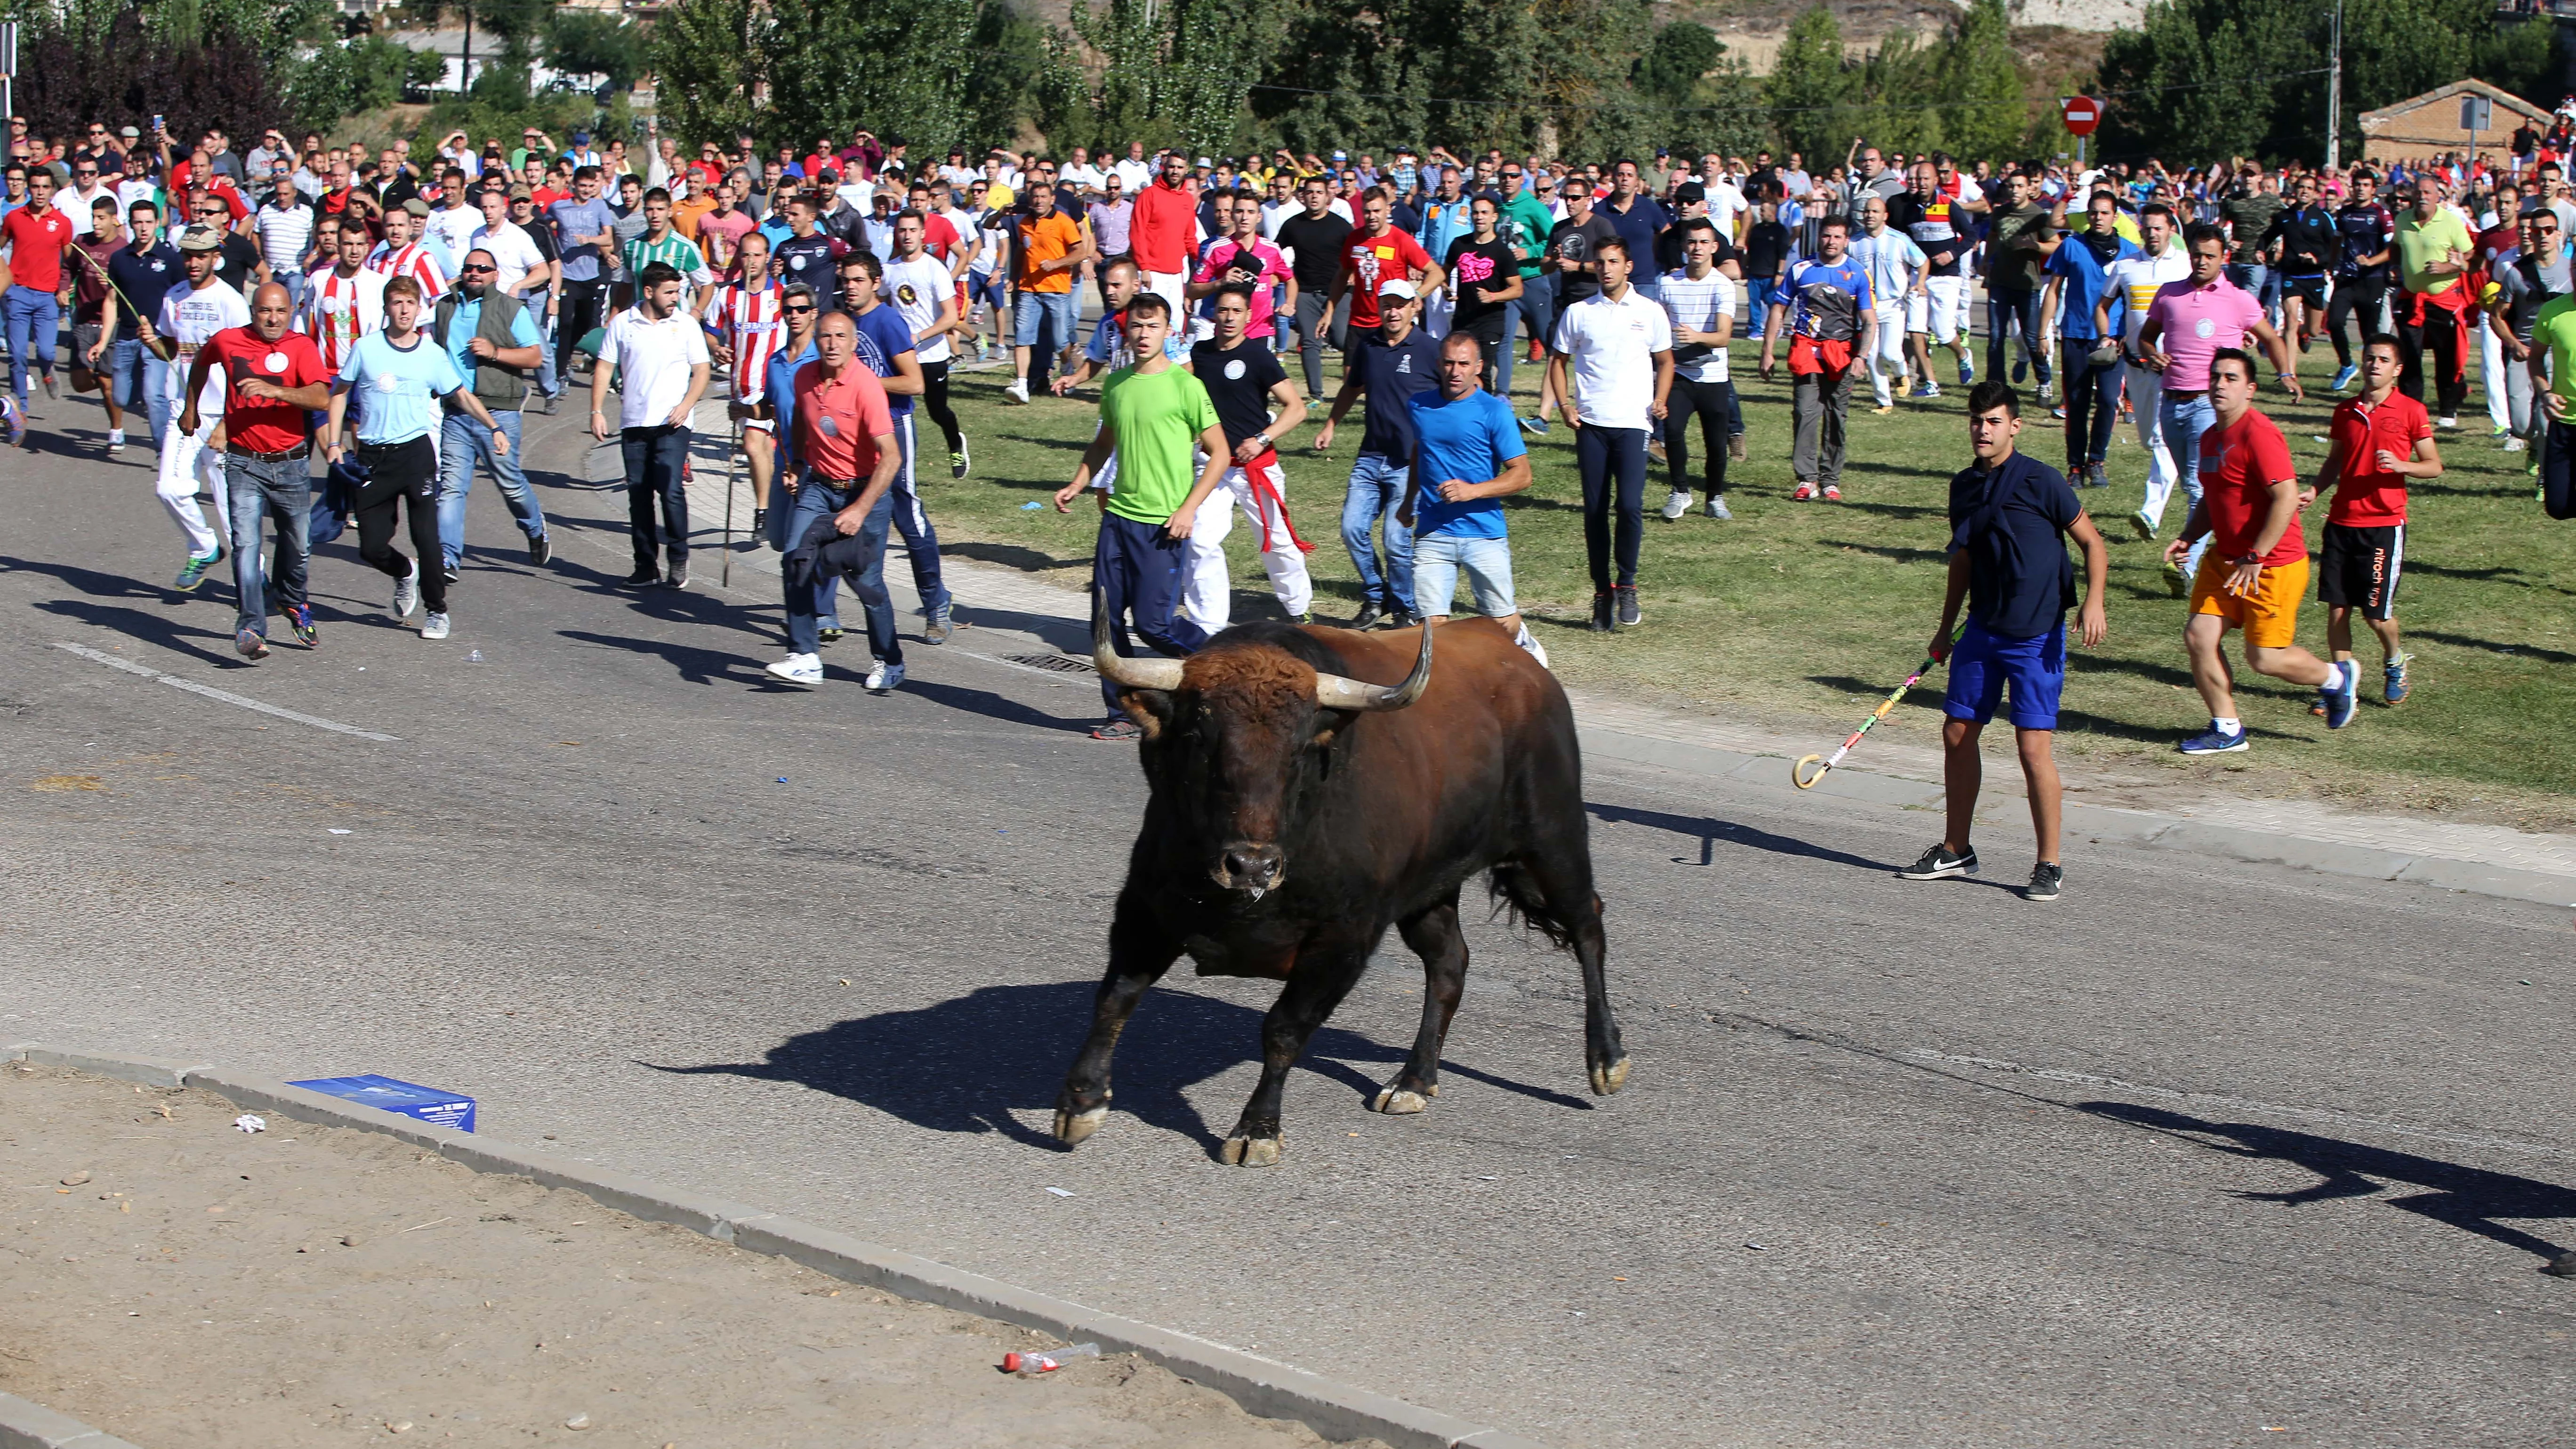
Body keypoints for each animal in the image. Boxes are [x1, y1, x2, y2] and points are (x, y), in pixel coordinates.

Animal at [1051, 606, 1628, 1160]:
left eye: (1300, 747)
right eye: (1198, 738)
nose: (1252, 866)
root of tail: (1513, 653)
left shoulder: (1344, 939)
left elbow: (1284, 1030)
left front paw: (1257, 1130)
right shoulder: (1145, 908)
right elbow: (1116, 997)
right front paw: (1081, 1101)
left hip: (1552, 841)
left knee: (1588, 927)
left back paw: (1607, 1058)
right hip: (1432, 887)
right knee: (1449, 963)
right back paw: (1414, 1080)